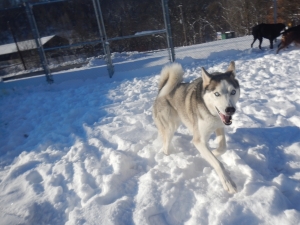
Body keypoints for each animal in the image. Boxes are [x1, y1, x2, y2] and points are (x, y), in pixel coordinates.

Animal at [154, 62, 240, 193]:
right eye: (217, 94)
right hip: (170, 127)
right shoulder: (199, 141)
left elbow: (222, 148)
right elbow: (218, 163)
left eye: (233, 92)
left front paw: (214, 152)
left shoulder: (219, 127)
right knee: (165, 146)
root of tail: (161, 90)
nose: (230, 109)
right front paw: (228, 182)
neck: (211, 113)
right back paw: (167, 156)